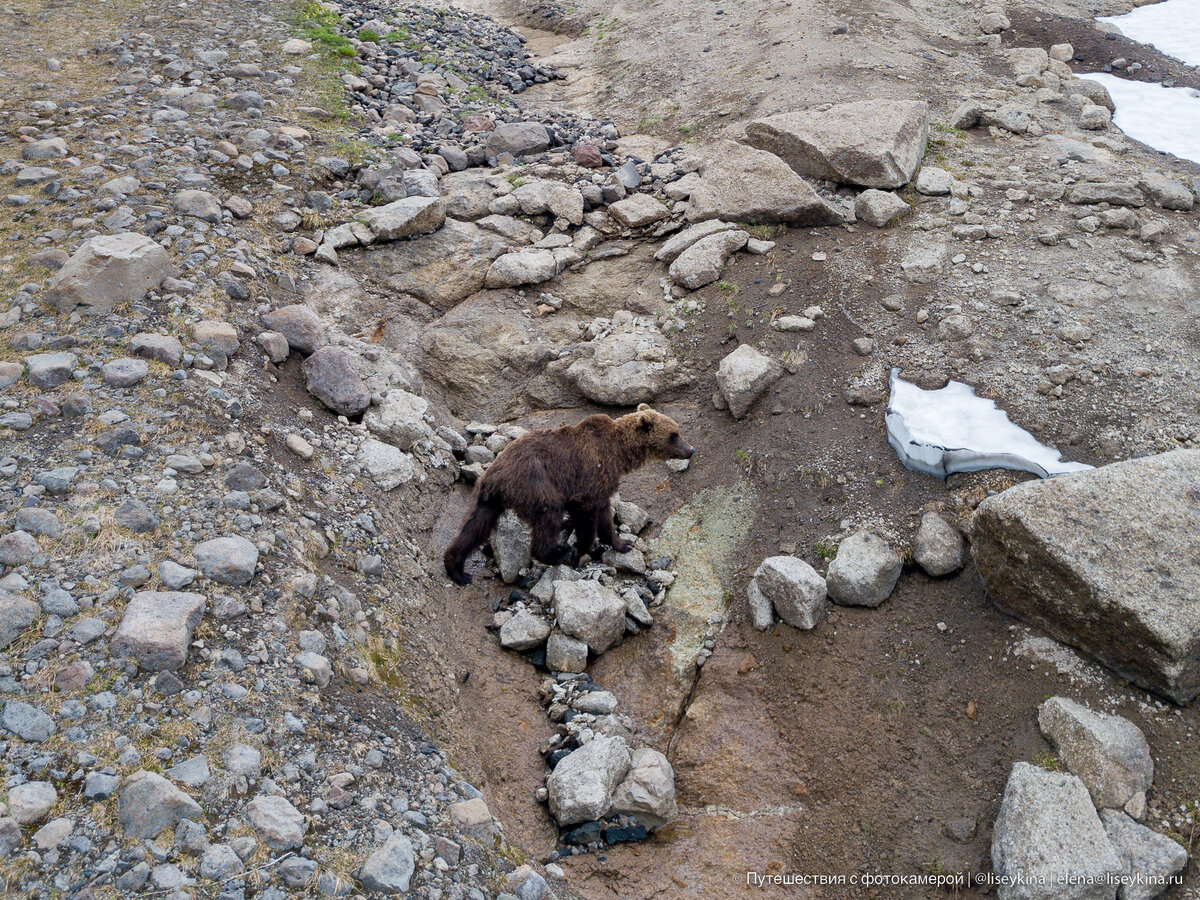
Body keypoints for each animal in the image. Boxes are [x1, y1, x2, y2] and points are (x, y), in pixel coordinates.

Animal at [444, 405, 696, 588]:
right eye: (673, 435)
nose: (691, 450)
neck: (619, 452)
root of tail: (496, 476)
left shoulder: (604, 482)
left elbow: (605, 514)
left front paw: (622, 543)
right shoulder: (589, 474)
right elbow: (586, 513)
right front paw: (581, 551)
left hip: (487, 496)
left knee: (475, 526)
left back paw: (457, 569)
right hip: (534, 482)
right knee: (548, 514)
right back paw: (557, 553)